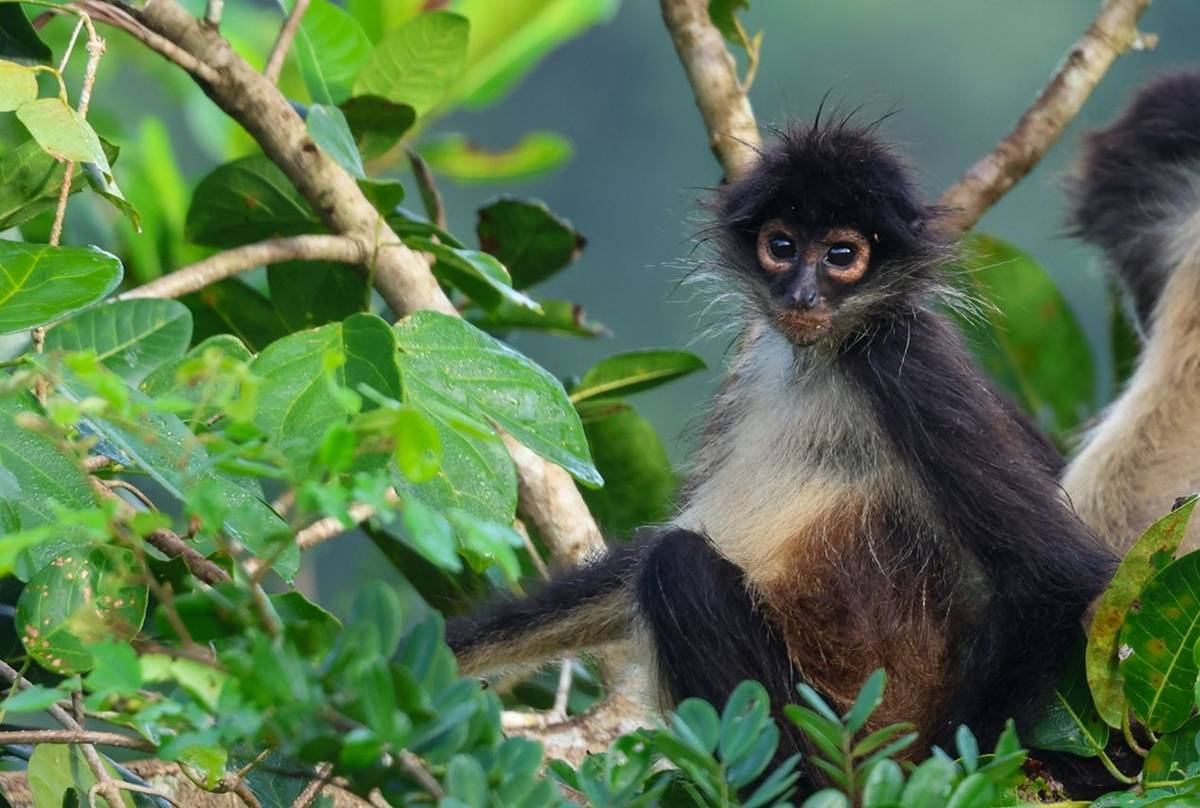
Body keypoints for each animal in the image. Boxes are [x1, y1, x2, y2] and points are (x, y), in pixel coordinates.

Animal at [445, 114, 1120, 794]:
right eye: (783, 247)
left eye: (842, 256)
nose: (800, 295)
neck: (821, 359)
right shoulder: (756, 369)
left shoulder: (904, 361)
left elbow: (1057, 572)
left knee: (679, 565)